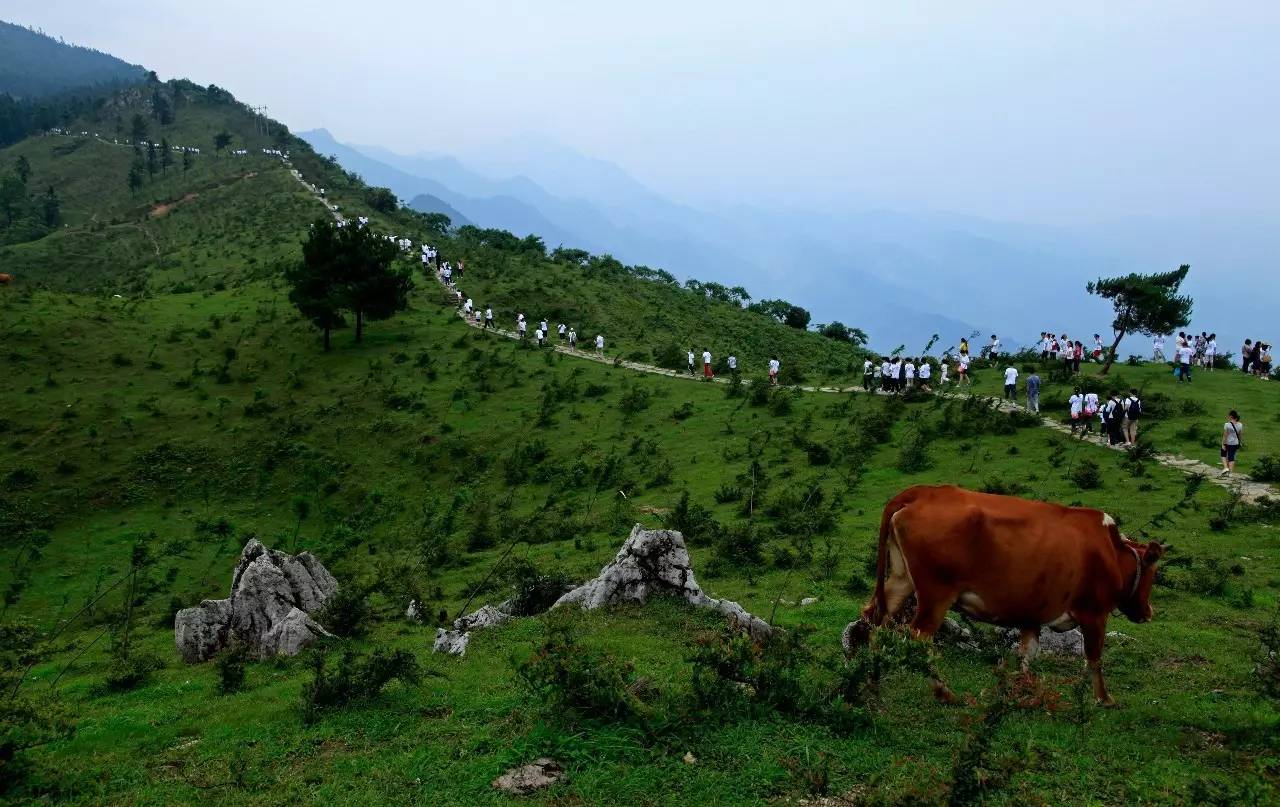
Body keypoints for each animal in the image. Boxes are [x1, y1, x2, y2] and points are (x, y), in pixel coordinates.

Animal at [855, 486, 1167, 707]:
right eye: (1152, 573)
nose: (1148, 612)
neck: (1112, 552)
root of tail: (921, 492)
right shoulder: (1094, 612)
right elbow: (1094, 657)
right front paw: (1104, 698)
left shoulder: (1033, 613)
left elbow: (1028, 654)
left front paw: (1025, 690)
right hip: (936, 593)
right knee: (920, 637)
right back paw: (944, 693)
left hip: (900, 579)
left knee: (876, 622)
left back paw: (871, 684)